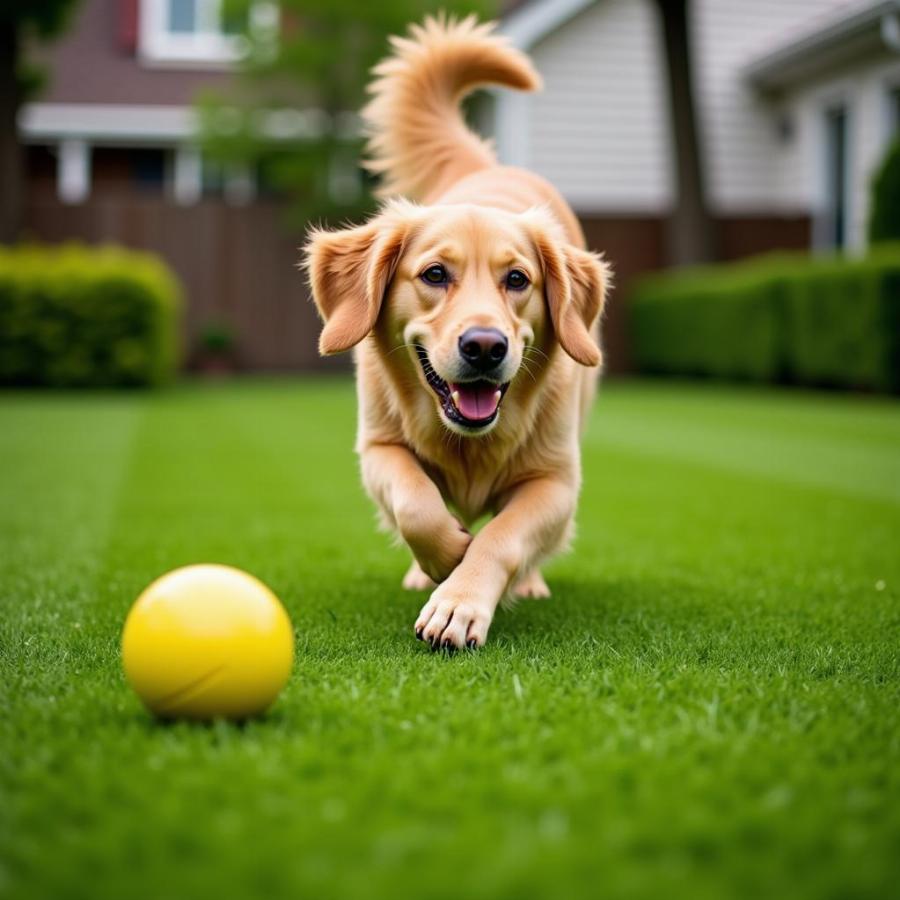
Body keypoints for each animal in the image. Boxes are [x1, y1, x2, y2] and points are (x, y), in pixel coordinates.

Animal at [304, 14, 612, 648]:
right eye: (434, 274)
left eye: (517, 279)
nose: (485, 347)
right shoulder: (379, 447)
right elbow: (417, 505)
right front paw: (445, 559)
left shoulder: (557, 481)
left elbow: (503, 536)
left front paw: (461, 601)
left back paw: (526, 583)